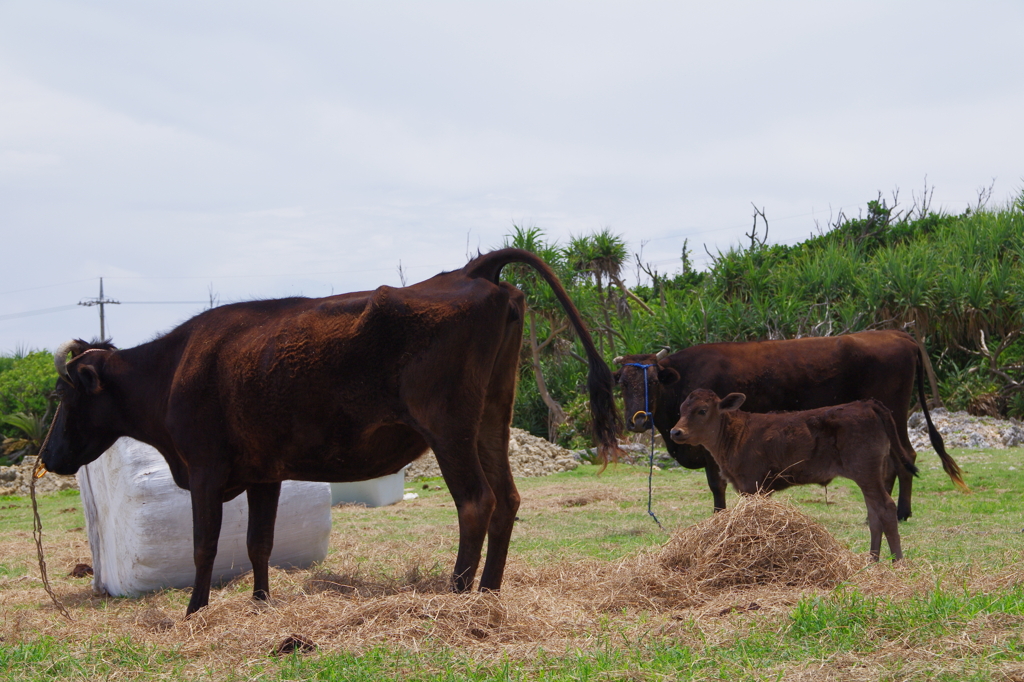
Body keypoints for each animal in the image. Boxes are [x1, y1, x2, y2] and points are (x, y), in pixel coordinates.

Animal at [36, 246, 618, 614]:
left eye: (64, 396)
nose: (49, 458)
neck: (175, 368)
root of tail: (473, 270)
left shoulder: (204, 468)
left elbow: (205, 545)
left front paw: (195, 611)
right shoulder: (264, 473)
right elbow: (259, 544)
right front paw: (261, 603)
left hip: (449, 428)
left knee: (477, 501)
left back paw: (456, 595)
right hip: (492, 419)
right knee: (508, 498)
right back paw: (489, 594)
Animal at [614, 329, 966, 516]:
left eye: (654, 381)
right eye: (622, 384)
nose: (638, 421)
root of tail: (895, 332)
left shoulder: (714, 448)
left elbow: (717, 485)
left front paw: (719, 516)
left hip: (895, 411)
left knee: (906, 456)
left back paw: (901, 511)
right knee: (898, 459)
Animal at [667, 387, 917, 557]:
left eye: (702, 410)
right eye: (680, 410)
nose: (675, 432)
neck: (736, 434)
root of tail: (866, 404)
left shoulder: (752, 484)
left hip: (866, 471)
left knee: (886, 509)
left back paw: (897, 561)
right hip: (870, 473)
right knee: (874, 514)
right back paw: (872, 560)